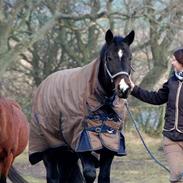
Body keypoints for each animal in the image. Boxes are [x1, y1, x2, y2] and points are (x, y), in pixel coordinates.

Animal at [28, 29, 134, 182]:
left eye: (130, 58)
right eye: (109, 58)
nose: (124, 88)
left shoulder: (110, 144)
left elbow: (104, 177)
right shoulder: (82, 141)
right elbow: (89, 174)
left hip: (67, 151)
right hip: (49, 149)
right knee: (53, 177)